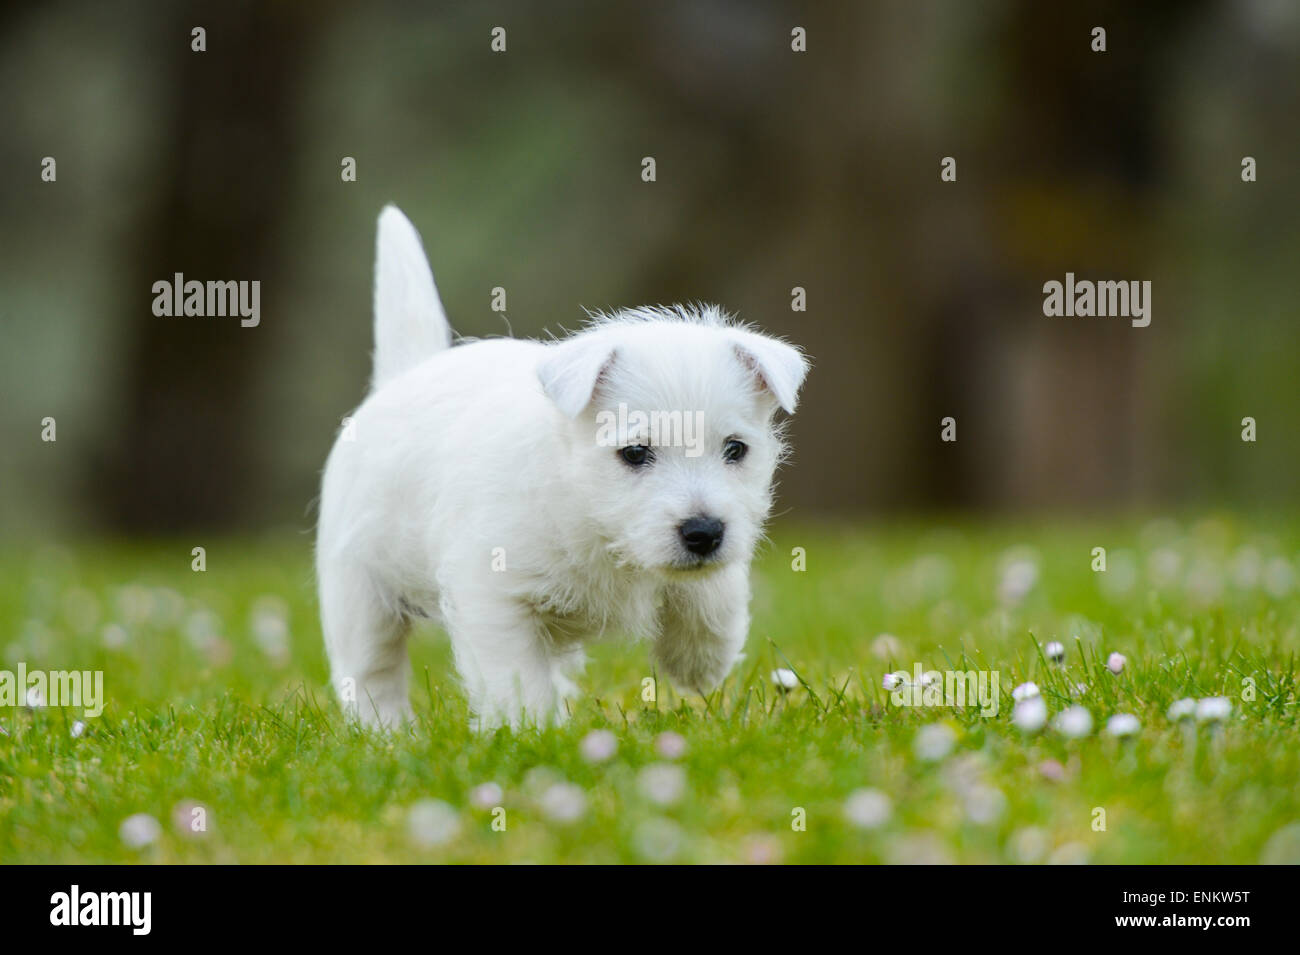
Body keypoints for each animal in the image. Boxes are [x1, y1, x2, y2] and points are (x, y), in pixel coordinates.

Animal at [314, 207, 806, 732]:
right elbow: (515, 676)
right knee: (372, 670)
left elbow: (713, 592)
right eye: (635, 453)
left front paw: (701, 659)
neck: (586, 510)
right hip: (360, 590)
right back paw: (386, 733)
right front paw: (527, 732)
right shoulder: (494, 595)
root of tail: (403, 375)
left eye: (735, 450)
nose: (704, 533)